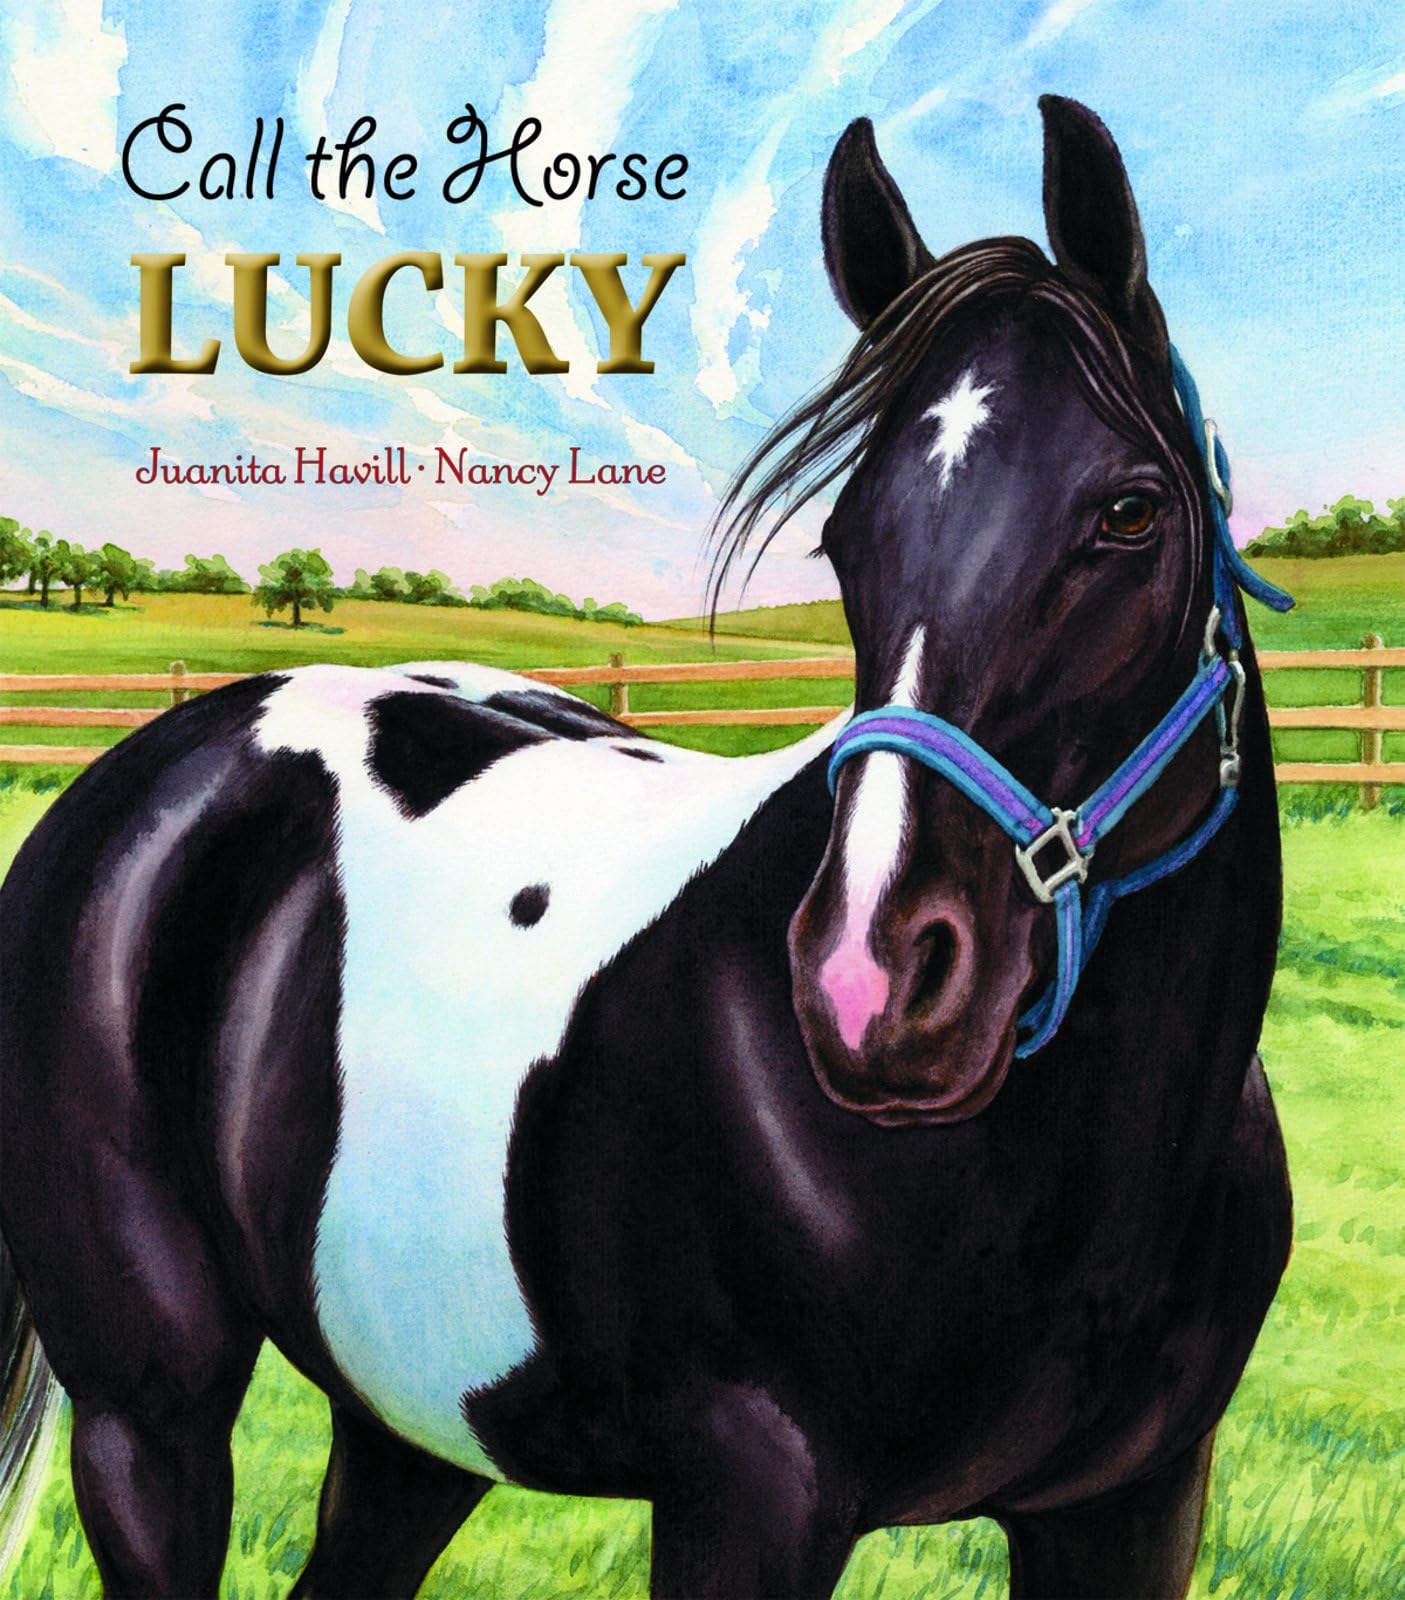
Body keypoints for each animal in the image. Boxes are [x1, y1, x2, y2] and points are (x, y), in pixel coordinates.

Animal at [0, 96, 1293, 1599]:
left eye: (1129, 512)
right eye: (845, 537)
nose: (874, 986)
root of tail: (143, 770)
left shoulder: (1132, 1502)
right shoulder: (749, 1496)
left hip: (409, 1421)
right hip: (146, 1419)